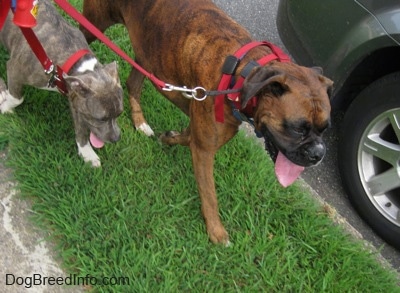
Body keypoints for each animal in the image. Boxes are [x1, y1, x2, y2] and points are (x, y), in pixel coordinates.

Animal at [0, 0, 123, 167]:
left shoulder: (76, 98)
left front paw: (87, 152)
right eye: (100, 119)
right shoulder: (15, 70)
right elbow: (17, 98)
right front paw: (5, 107)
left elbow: (81, 128)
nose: (116, 139)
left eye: (119, 114)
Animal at [80, 0, 332, 244]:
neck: (242, 75)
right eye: (298, 129)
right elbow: (209, 194)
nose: (318, 154)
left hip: (145, 52)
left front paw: (170, 138)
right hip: (94, 24)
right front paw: (216, 231)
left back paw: (139, 120)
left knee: (133, 83)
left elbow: (188, 135)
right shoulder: (198, 135)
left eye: (324, 129)